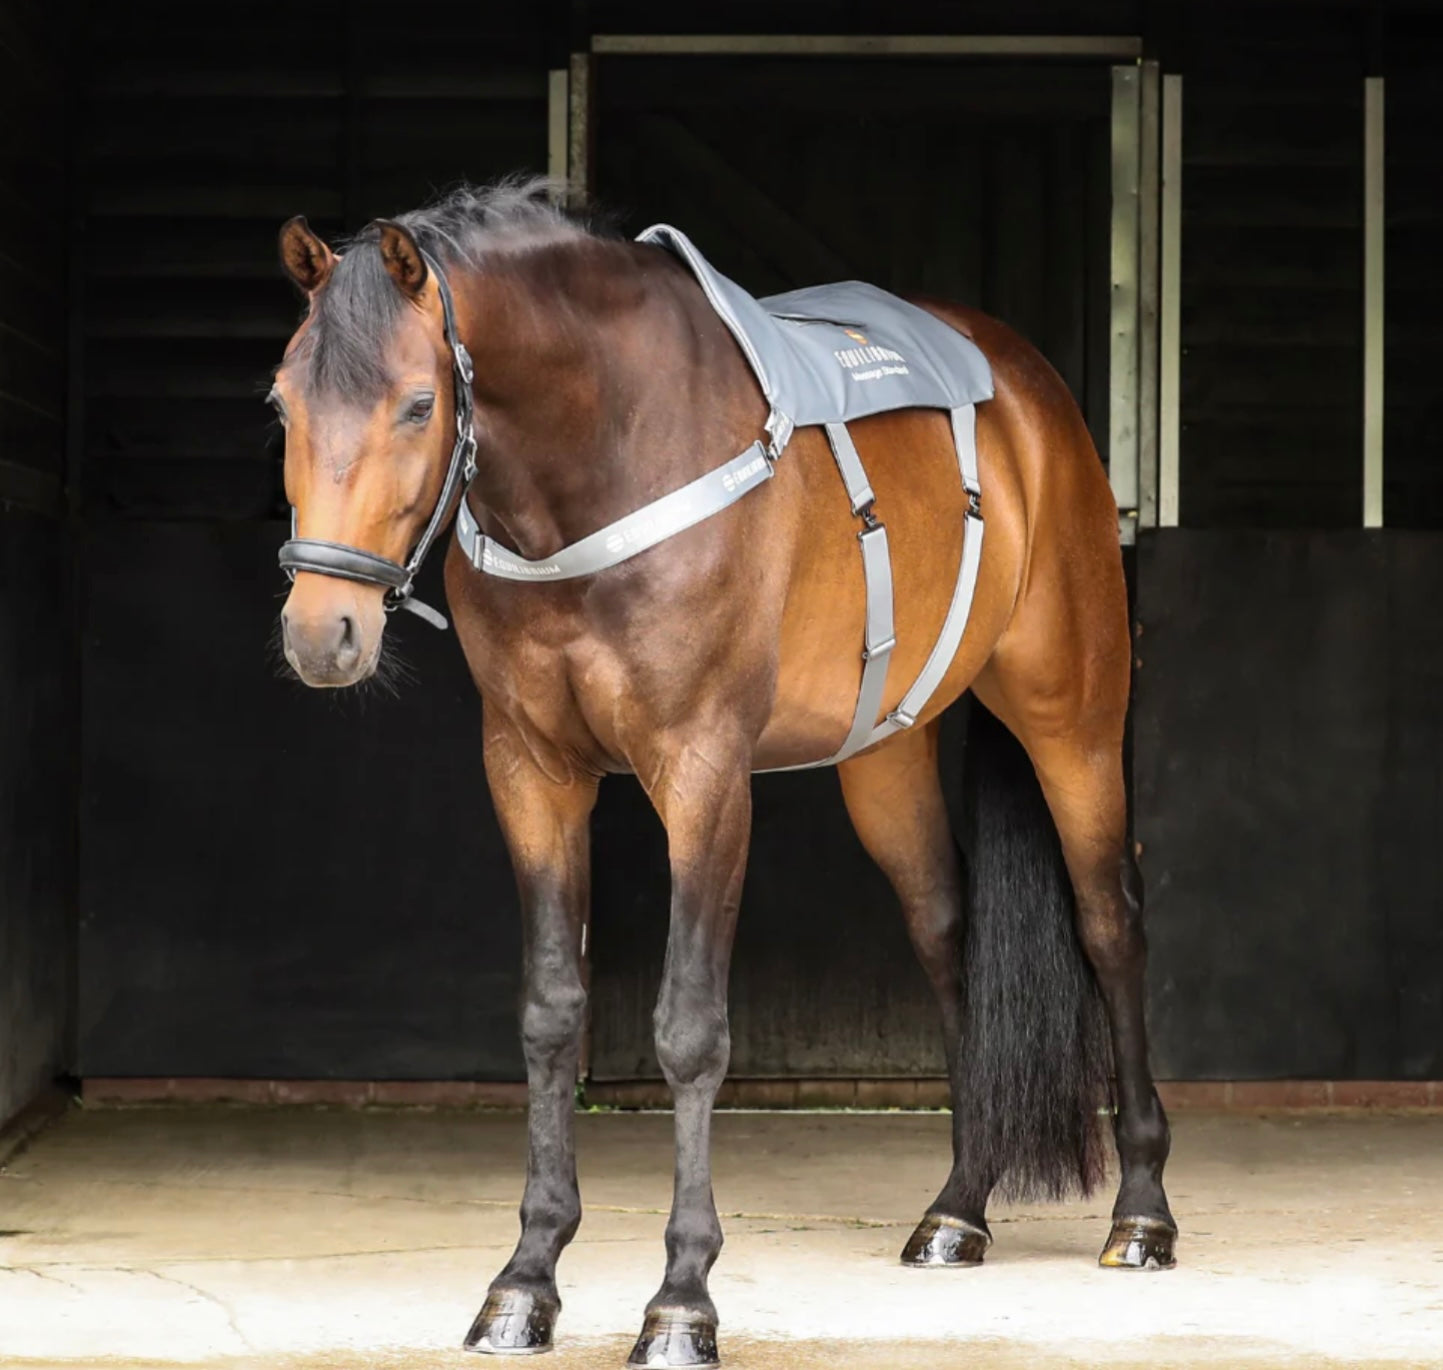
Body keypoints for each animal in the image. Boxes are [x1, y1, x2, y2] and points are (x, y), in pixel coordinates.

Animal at [268, 179, 1171, 1357]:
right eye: (282, 404)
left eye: (420, 405)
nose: (320, 632)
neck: (601, 462)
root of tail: (1030, 388)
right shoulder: (530, 770)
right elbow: (549, 1013)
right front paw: (525, 1280)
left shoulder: (702, 774)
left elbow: (689, 1029)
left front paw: (680, 1300)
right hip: (886, 756)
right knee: (947, 935)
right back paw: (957, 1209)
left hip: (1072, 717)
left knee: (1111, 924)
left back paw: (1142, 1213)